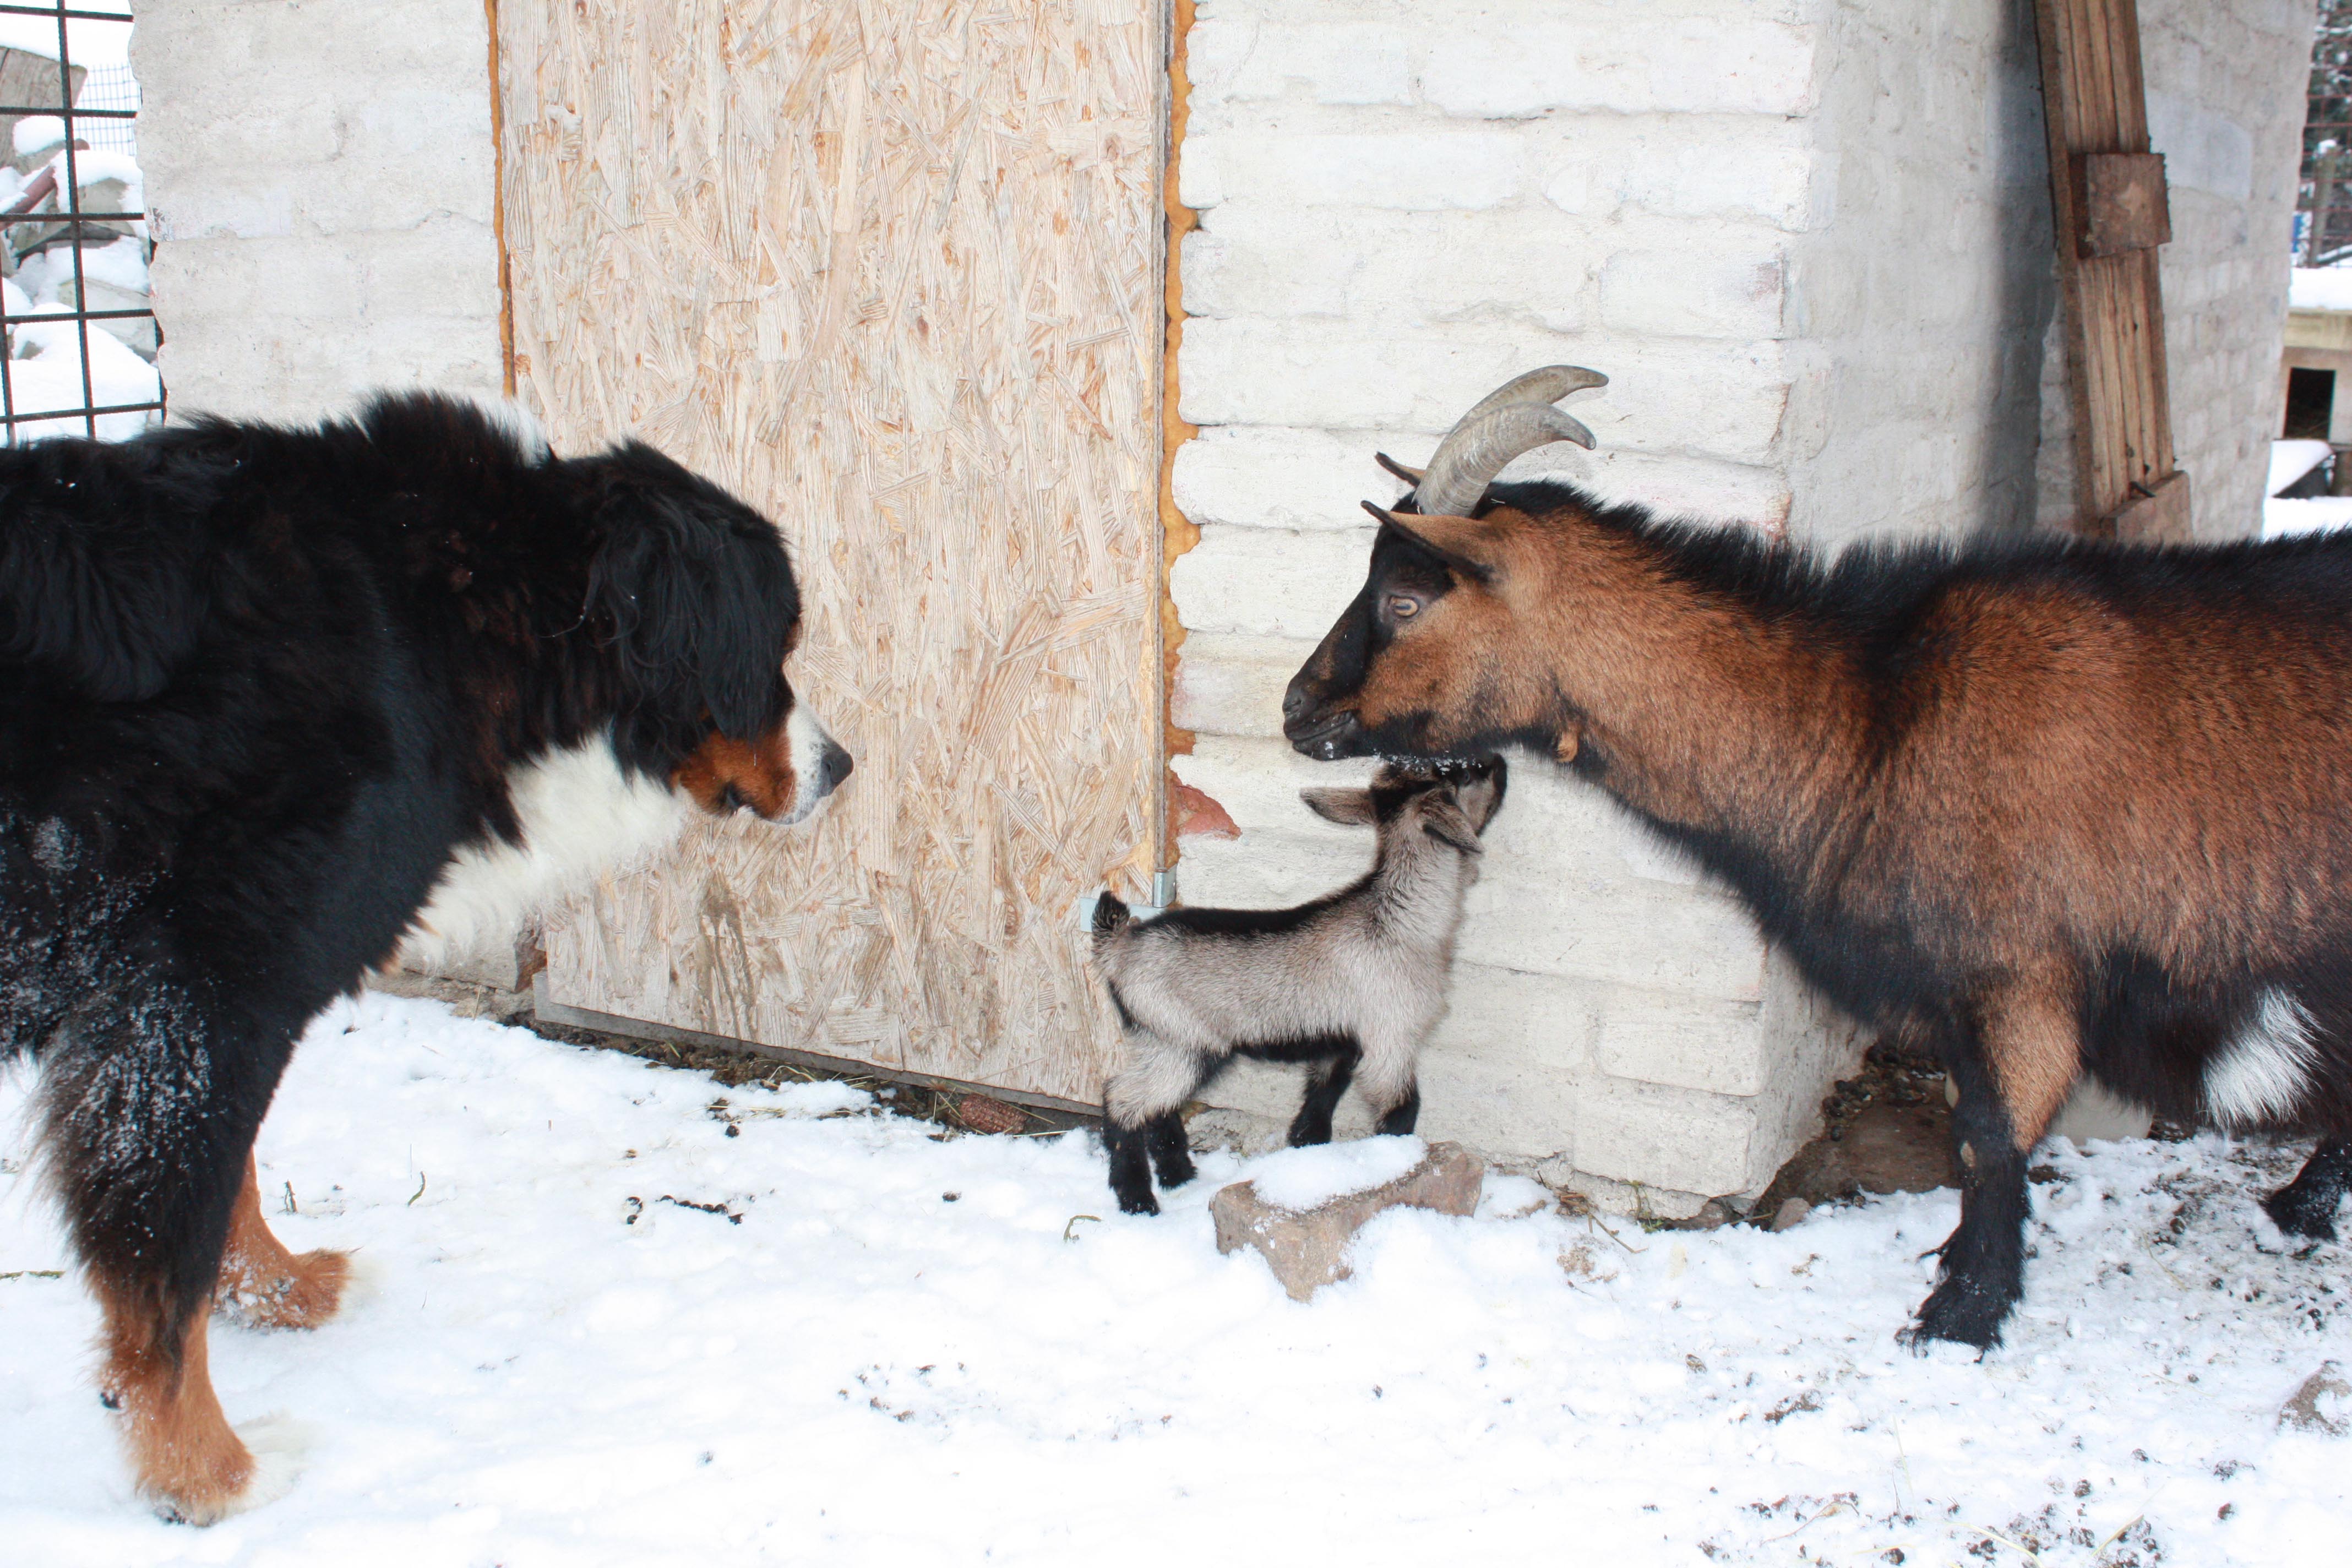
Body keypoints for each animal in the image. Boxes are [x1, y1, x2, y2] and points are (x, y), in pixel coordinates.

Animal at [0, 393, 846, 1523]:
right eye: (774, 643)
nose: (842, 766)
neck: (474, 619)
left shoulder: (185, 1004)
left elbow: (235, 1181)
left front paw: (276, 1291)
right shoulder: (203, 989)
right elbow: (168, 1241)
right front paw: (206, 1473)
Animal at [1086, 756, 1505, 1213]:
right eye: (1461, 775)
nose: (1499, 764)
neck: (1401, 918)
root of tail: (1120, 947)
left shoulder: (1337, 1044)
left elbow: (1317, 1110)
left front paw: (1305, 1162)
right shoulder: (1390, 1038)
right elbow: (1401, 1110)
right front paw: (1394, 1162)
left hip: (1162, 1041)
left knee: (1157, 1107)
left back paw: (1179, 1177)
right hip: (1182, 1041)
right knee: (1123, 1101)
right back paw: (1138, 1200)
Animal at [1289, 369, 2352, 1354]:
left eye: (1405, 597)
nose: (1300, 709)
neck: (1875, 715)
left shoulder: (2019, 973)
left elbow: (1990, 1141)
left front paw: (1959, 1318)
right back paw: (2293, 1210)